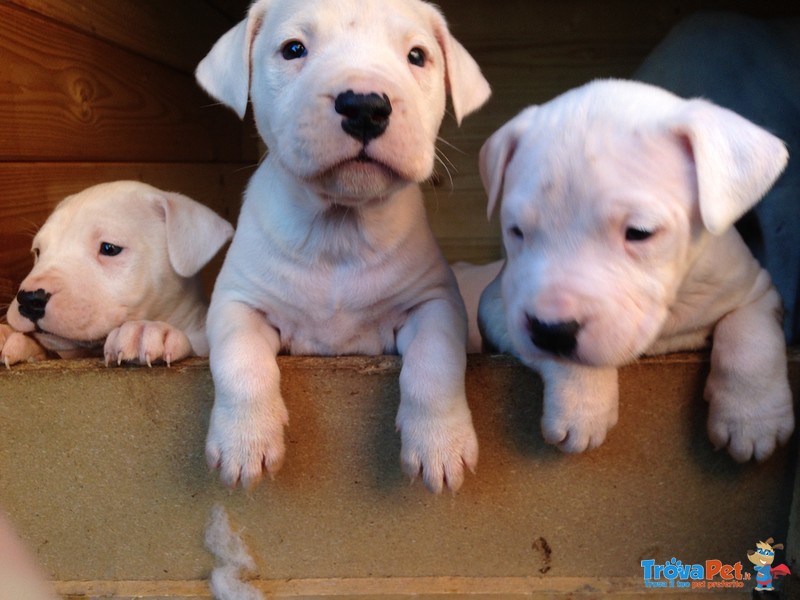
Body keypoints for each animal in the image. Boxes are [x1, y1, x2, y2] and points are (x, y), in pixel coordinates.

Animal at [197, 0, 490, 492]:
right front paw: (245, 442)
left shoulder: (434, 302)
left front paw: (439, 444)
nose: (365, 106)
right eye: (293, 49)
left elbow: (435, 362)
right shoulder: (238, 302)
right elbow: (241, 362)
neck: (340, 230)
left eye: (417, 56)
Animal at [478, 78, 796, 460]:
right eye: (516, 232)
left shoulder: (755, 290)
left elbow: (749, 338)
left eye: (640, 233)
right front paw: (582, 405)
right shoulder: (499, 307)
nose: (551, 331)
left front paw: (751, 419)